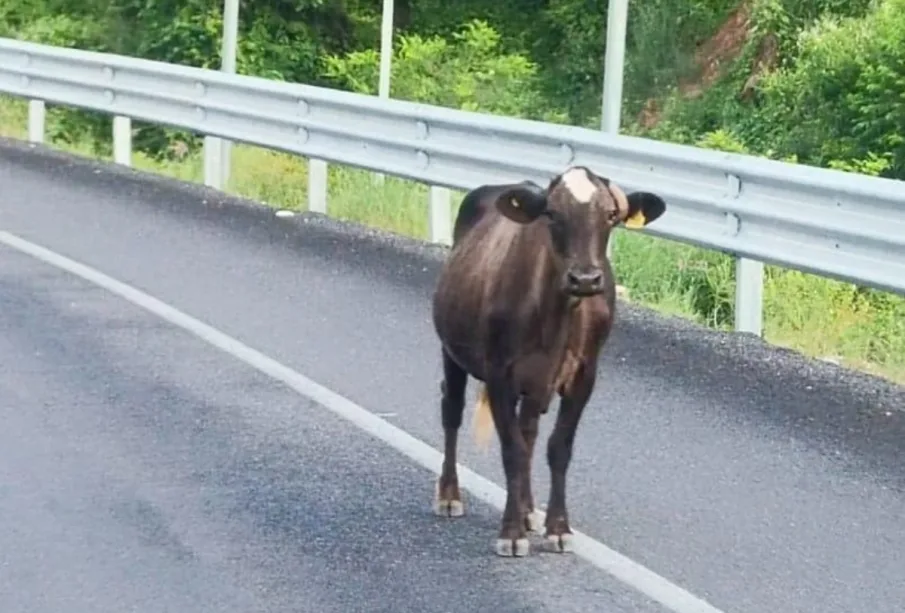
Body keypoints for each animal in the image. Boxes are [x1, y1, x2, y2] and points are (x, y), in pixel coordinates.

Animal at [428, 165, 668, 556]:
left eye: (610, 215)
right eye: (552, 214)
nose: (585, 278)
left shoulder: (584, 374)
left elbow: (557, 447)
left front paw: (557, 526)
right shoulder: (499, 373)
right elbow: (511, 450)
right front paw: (511, 532)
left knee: (529, 431)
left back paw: (528, 509)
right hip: (452, 351)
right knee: (452, 410)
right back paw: (450, 495)